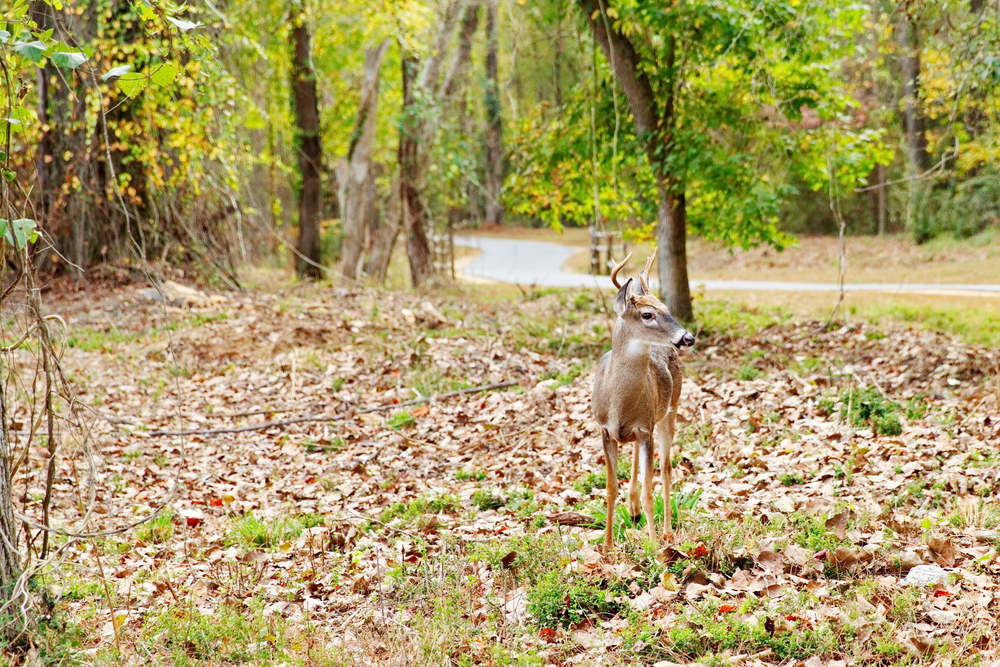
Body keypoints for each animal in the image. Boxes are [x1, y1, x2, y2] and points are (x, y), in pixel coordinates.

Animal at [588, 248, 692, 552]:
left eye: (667, 309)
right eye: (647, 314)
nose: (688, 337)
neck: (619, 403)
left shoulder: (646, 429)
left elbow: (650, 490)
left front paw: (655, 546)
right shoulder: (605, 429)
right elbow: (610, 489)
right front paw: (608, 548)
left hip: (669, 412)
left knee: (667, 469)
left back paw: (667, 529)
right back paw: (632, 510)